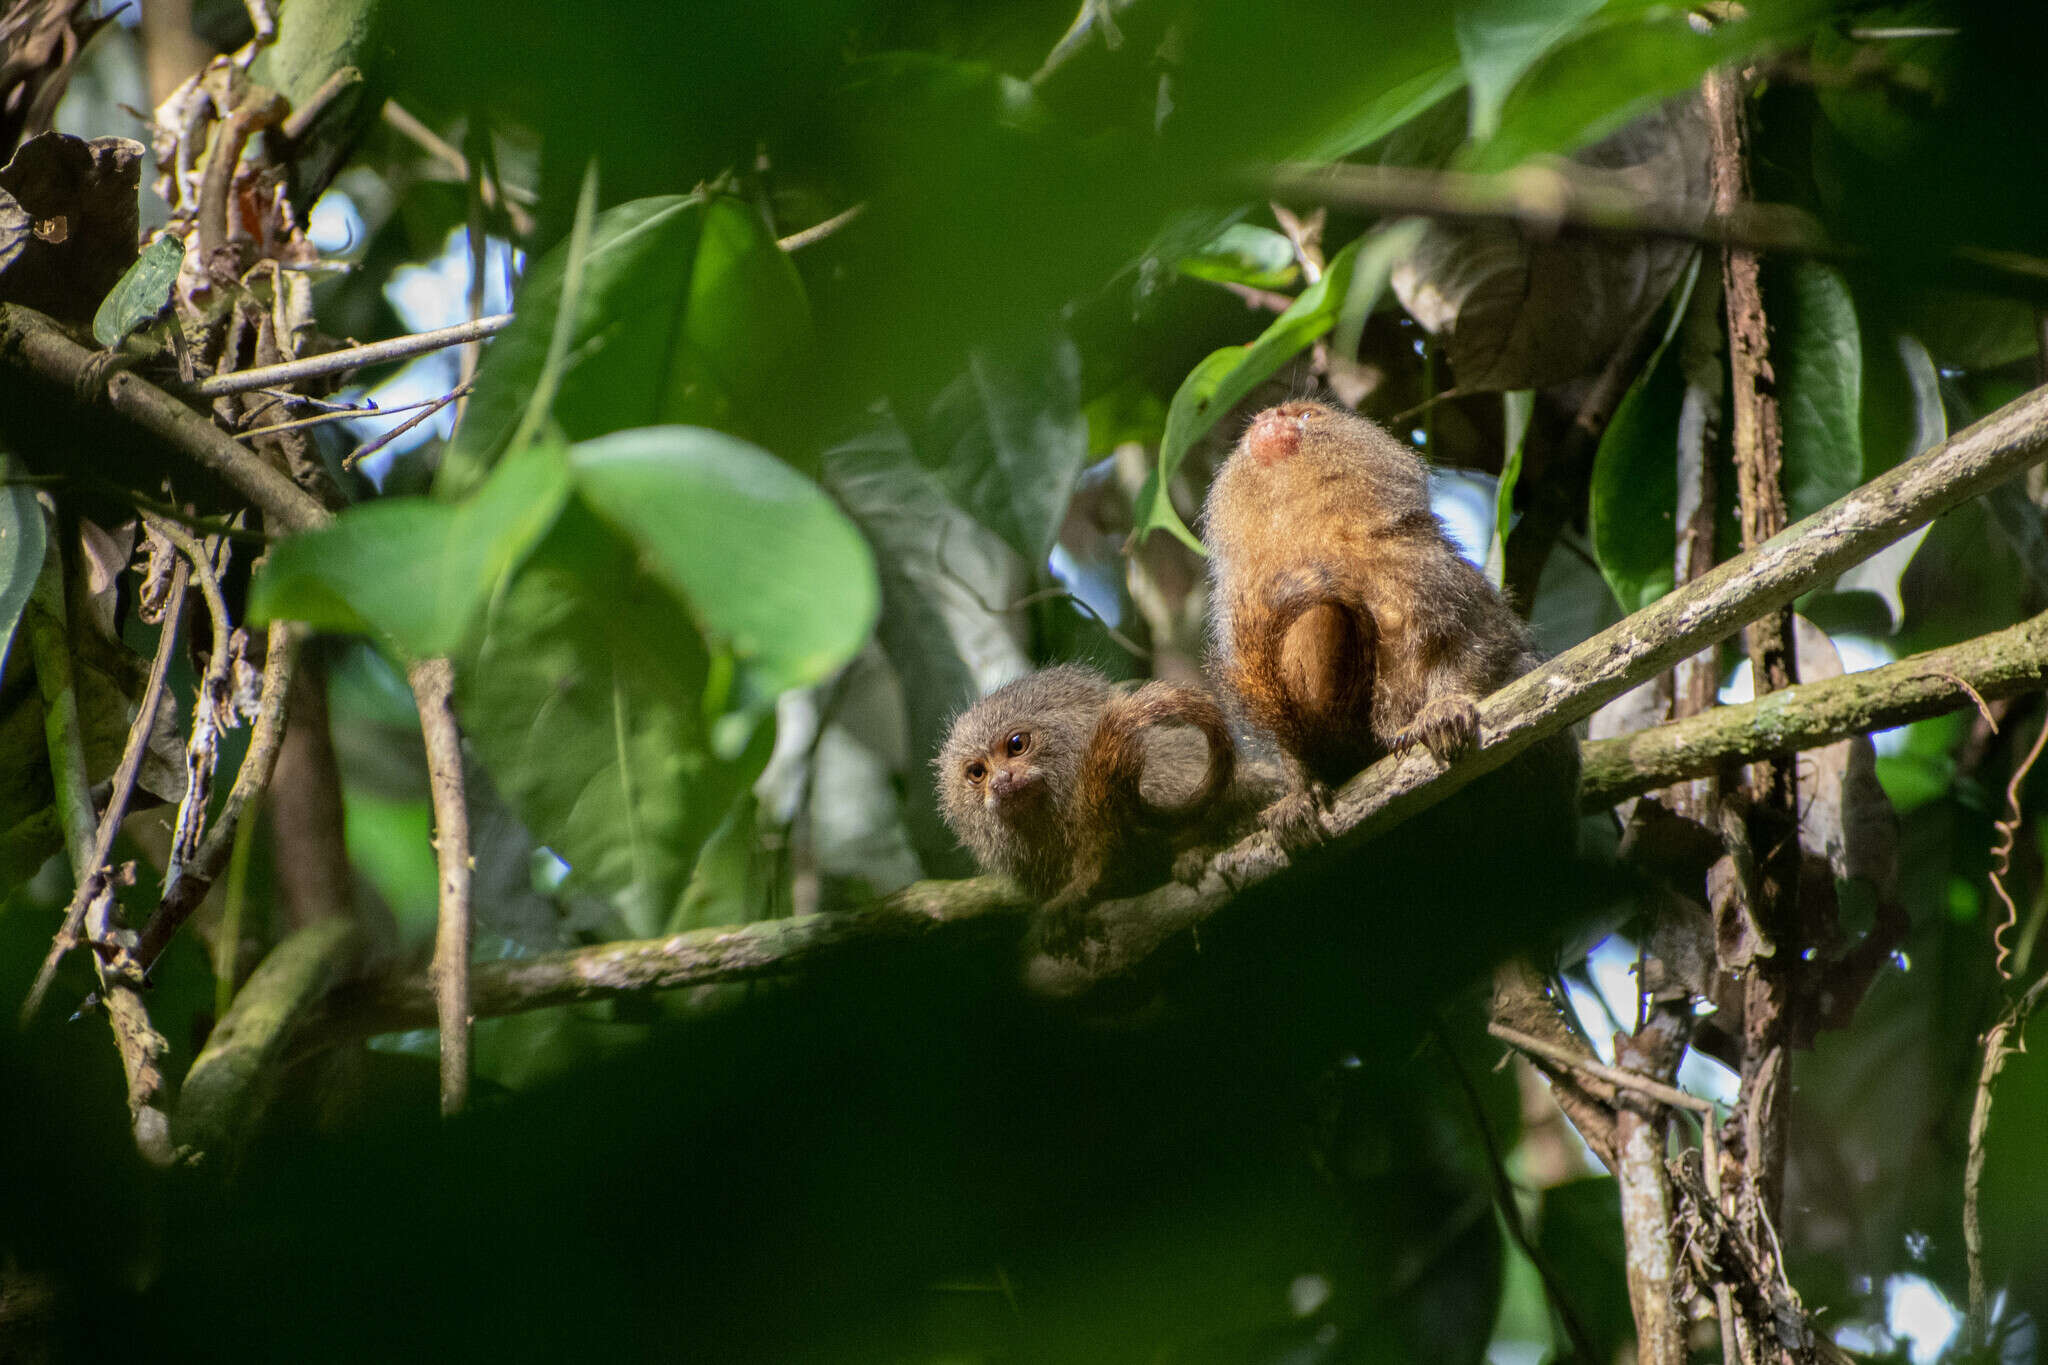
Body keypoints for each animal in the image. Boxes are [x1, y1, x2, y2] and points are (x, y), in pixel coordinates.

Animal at [1196, 397, 1548, 843]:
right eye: (1261, 421)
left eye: (1307, 415)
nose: (1268, 417)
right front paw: (1300, 792)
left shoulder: (1418, 562)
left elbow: (1477, 643)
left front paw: (1445, 709)